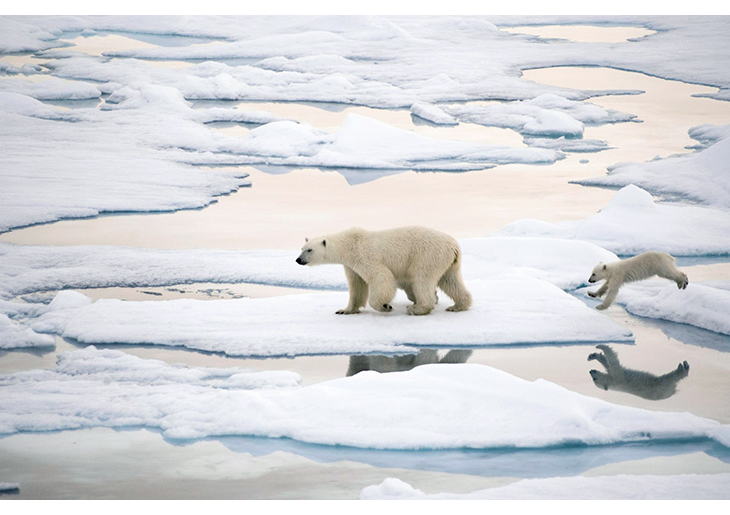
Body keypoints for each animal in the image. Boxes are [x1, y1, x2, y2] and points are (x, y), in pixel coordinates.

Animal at [296, 228, 472, 316]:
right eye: (301, 248)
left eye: (309, 250)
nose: (298, 260)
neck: (349, 244)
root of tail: (453, 245)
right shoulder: (351, 266)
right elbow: (356, 286)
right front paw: (345, 310)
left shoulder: (364, 256)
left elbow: (381, 278)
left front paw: (385, 306)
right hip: (448, 262)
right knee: (451, 281)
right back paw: (457, 305)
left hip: (427, 256)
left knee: (422, 279)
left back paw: (417, 308)